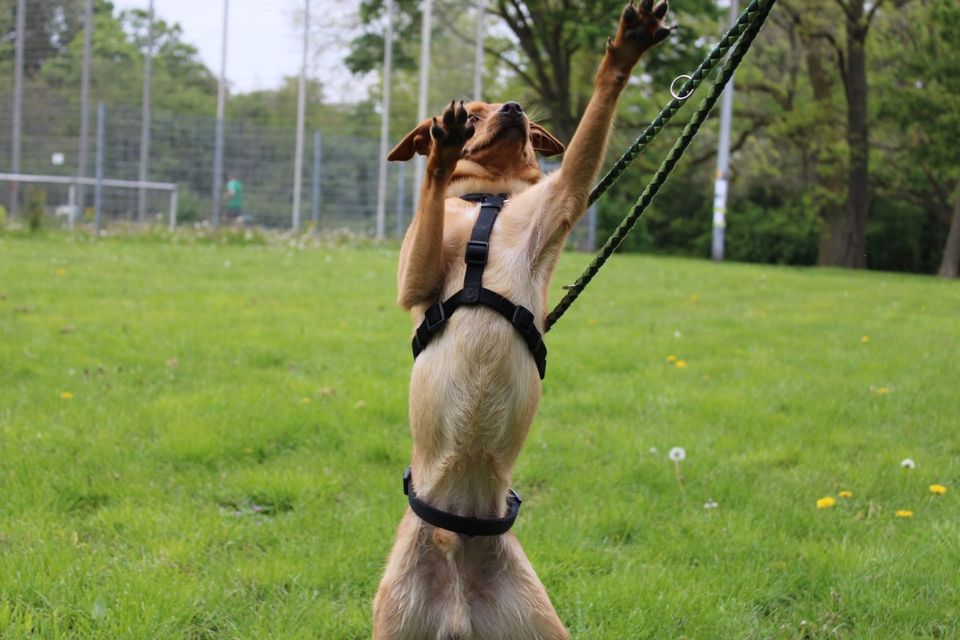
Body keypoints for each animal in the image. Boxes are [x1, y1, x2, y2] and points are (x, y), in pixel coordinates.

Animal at [372, 3, 672, 636]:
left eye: (511, 111)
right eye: (473, 113)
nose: (512, 108)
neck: (490, 200)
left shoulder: (561, 201)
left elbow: (591, 126)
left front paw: (626, 48)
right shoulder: (414, 278)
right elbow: (431, 195)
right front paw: (442, 155)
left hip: (534, 619)